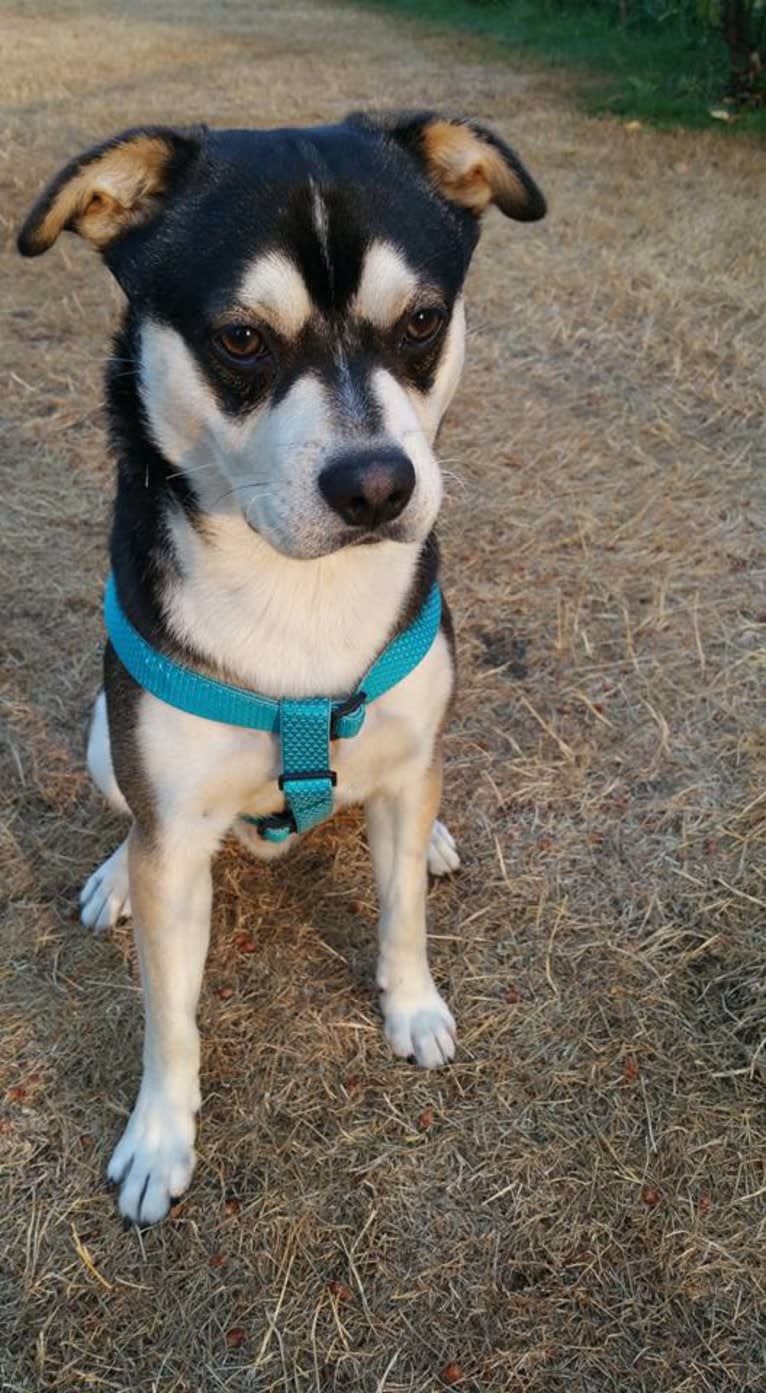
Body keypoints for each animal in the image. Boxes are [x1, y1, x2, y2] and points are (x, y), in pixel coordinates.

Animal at [18, 114, 545, 1225]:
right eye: (241, 339)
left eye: (422, 320)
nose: (378, 485)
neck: (299, 590)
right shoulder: (174, 828)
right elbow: (169, 1013)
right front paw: (159, 1137)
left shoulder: (407, 754)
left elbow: (400, 914)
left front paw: (413, 1004)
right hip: (102, 741)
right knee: (127, 816)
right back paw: (113, 875)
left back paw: (433, 839)